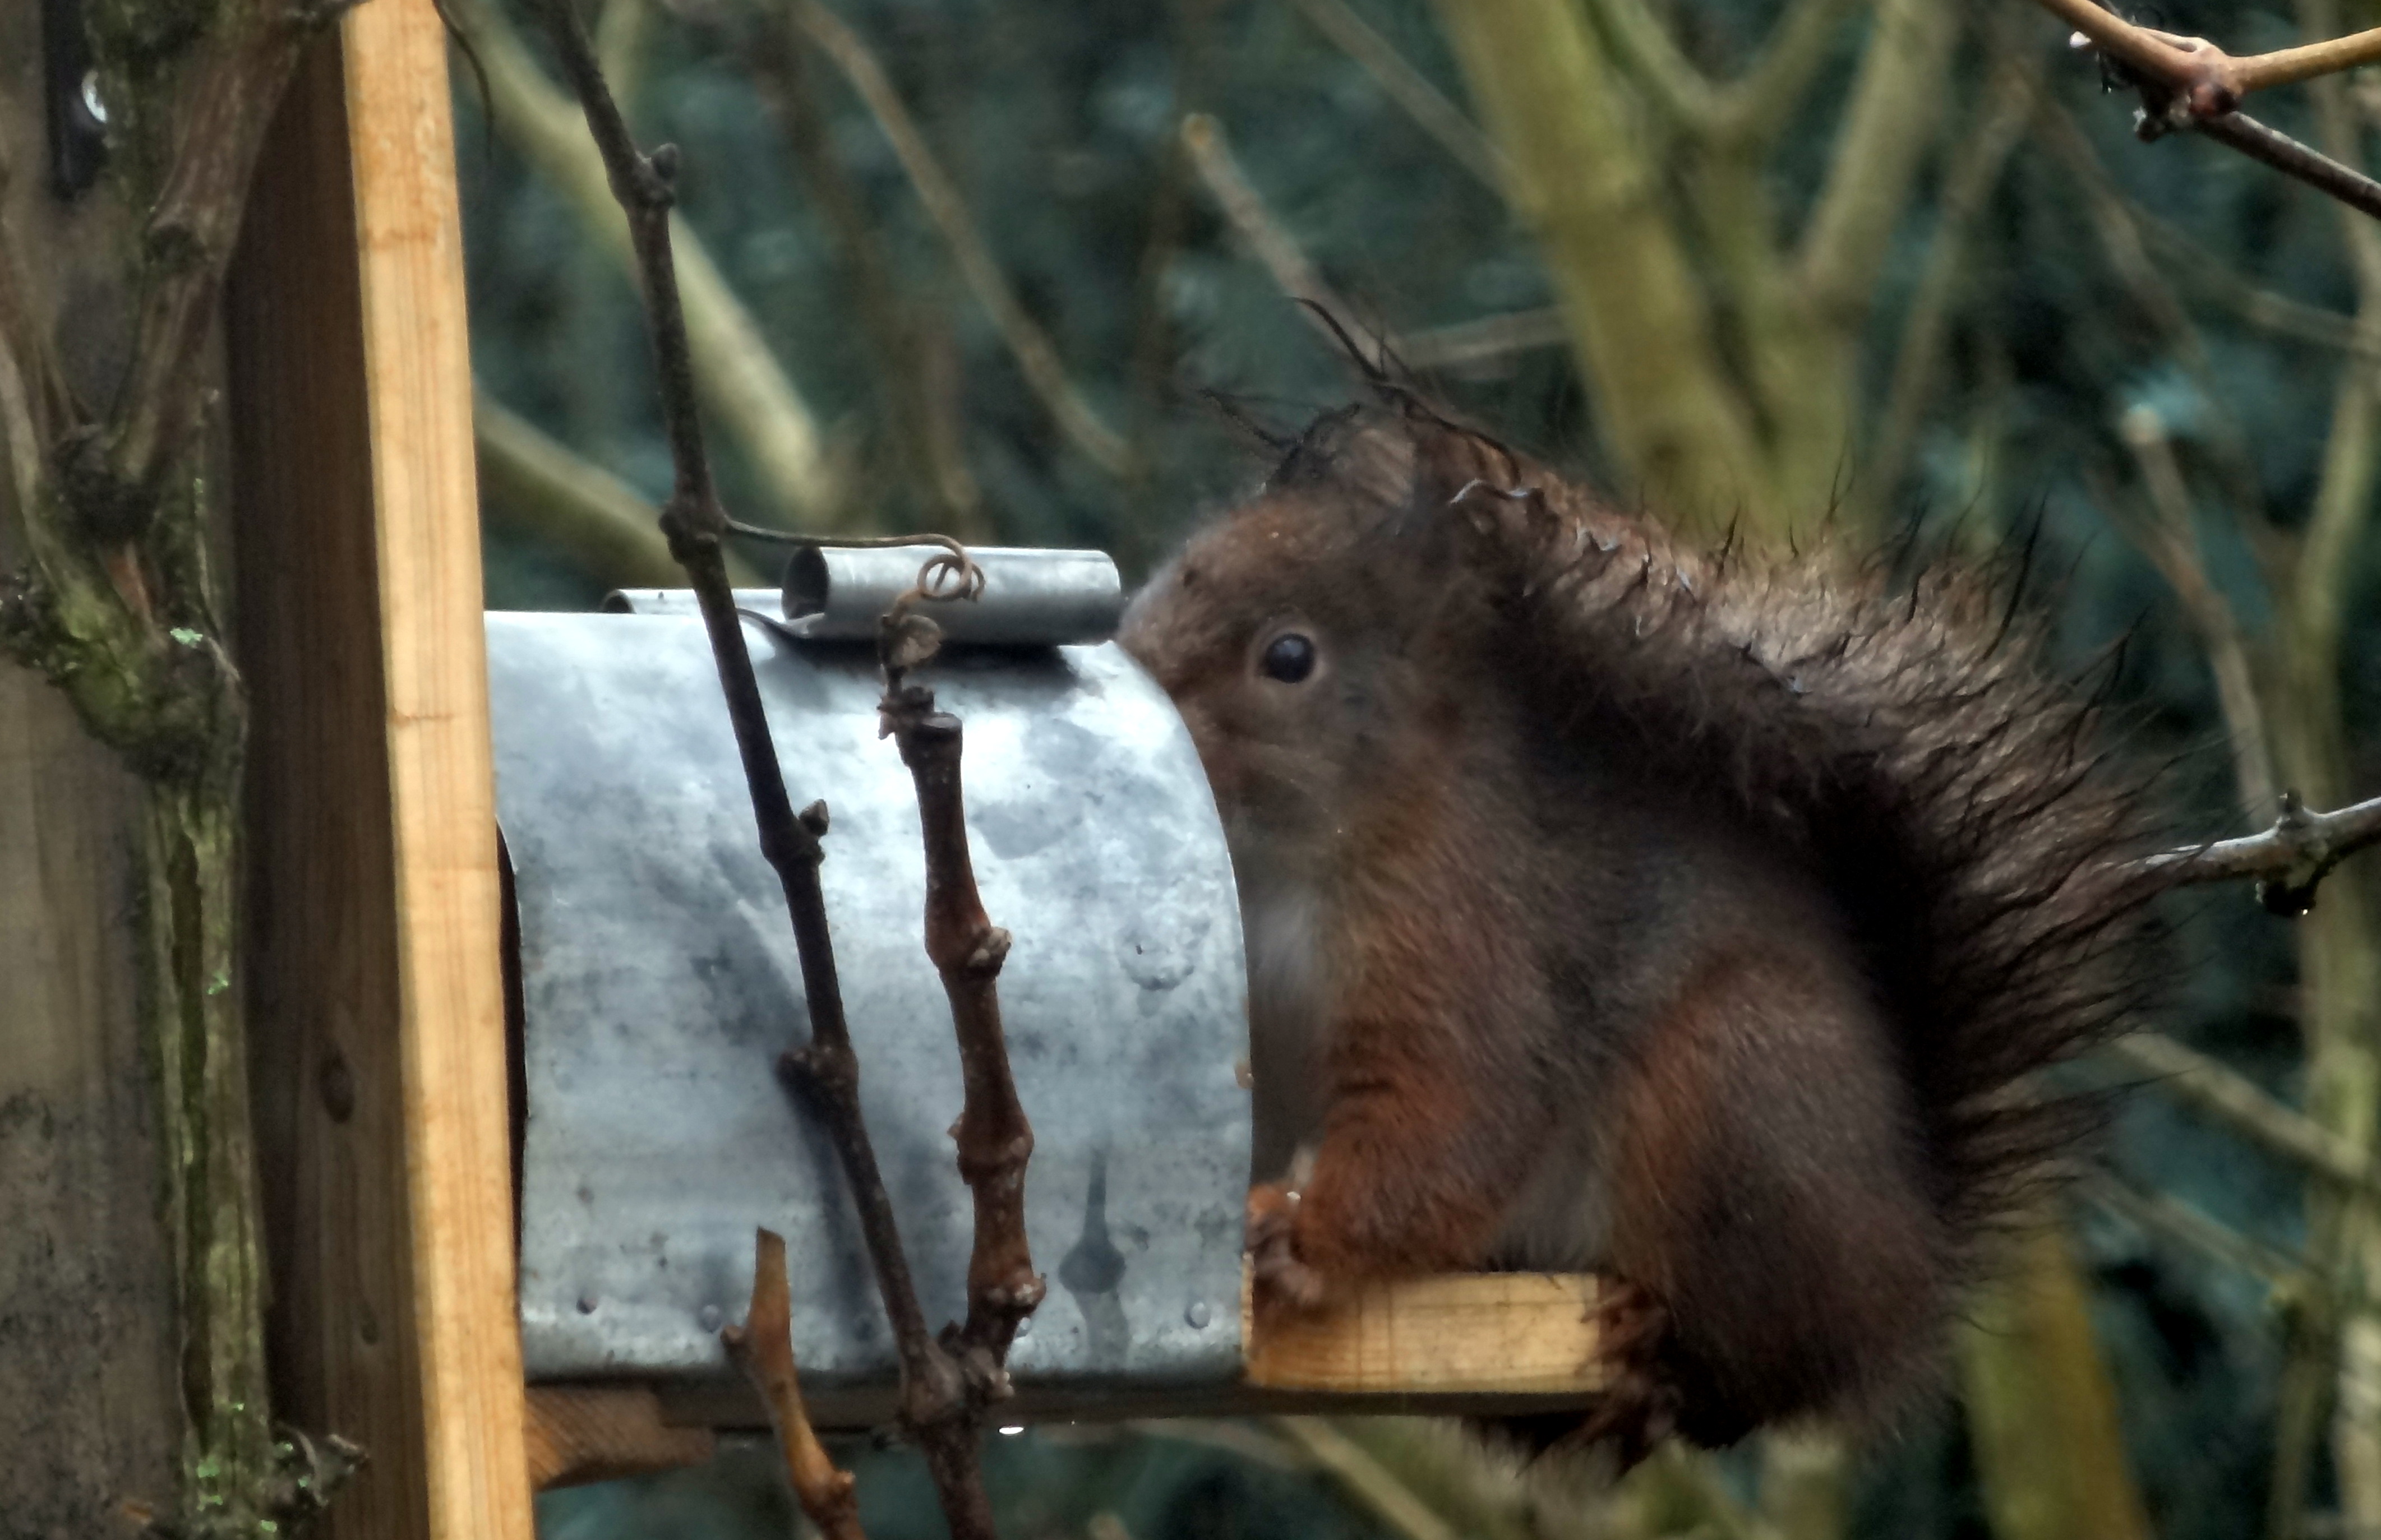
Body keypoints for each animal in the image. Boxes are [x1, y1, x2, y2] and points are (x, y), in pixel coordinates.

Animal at [1117, 391, 2170, 1463]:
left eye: (1289, 657)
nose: (1139, 677)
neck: (1282, 862)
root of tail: (1906, 1275)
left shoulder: (1463, 939)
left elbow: (1458, 1110)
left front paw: (1301, 1237)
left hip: (1737, 1089)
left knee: (1749, 1367)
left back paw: (1659, 1345)